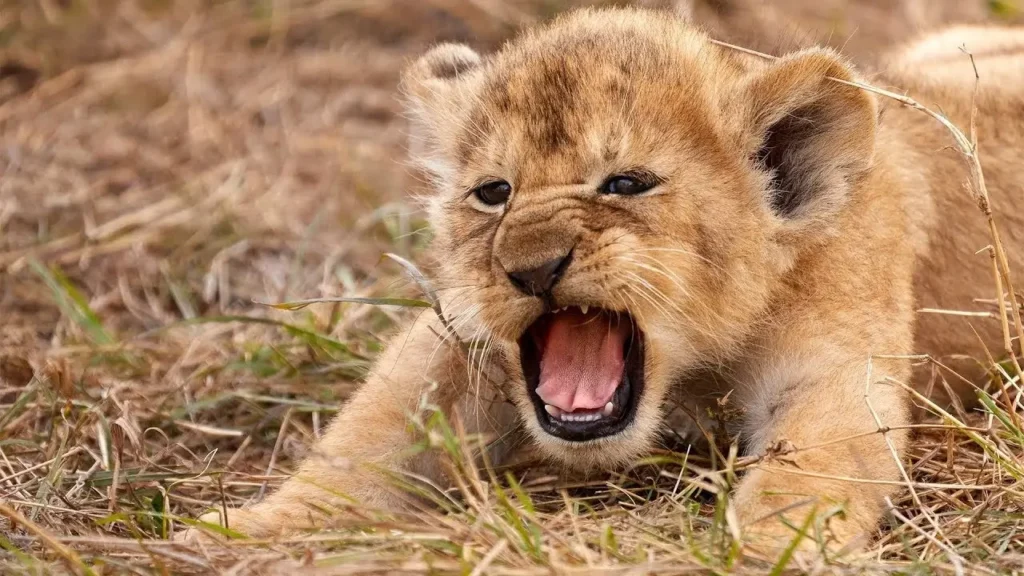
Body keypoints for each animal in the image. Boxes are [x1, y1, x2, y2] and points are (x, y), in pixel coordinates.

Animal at [180, 8, 1024, 553]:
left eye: (626, 183)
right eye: (494, 192)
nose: (531, 266)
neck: (687, 375)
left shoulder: (838, 365)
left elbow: (814, 463)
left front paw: (769, 545)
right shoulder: (458, 336)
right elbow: (364, 437)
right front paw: (247, 530)